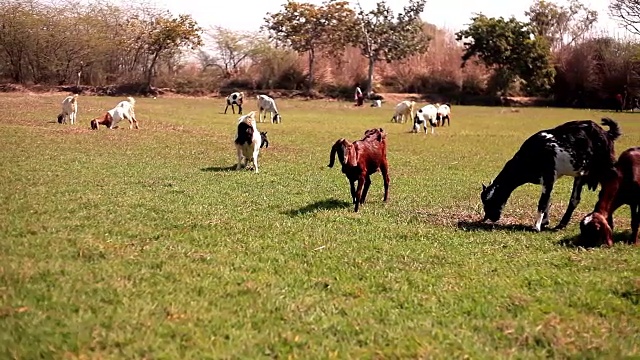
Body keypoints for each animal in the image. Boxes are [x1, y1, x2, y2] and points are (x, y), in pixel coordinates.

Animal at [482, 116, 624, 232]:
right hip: (580, 175)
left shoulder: (549, 176)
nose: (490, 217)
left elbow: (543, 202)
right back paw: (561, 225)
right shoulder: (547, 180)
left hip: (606, 171)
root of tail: (607, 134)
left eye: (492, 200)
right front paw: (545, 222)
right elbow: (548, 199)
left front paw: (536, 226)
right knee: (574, 199)